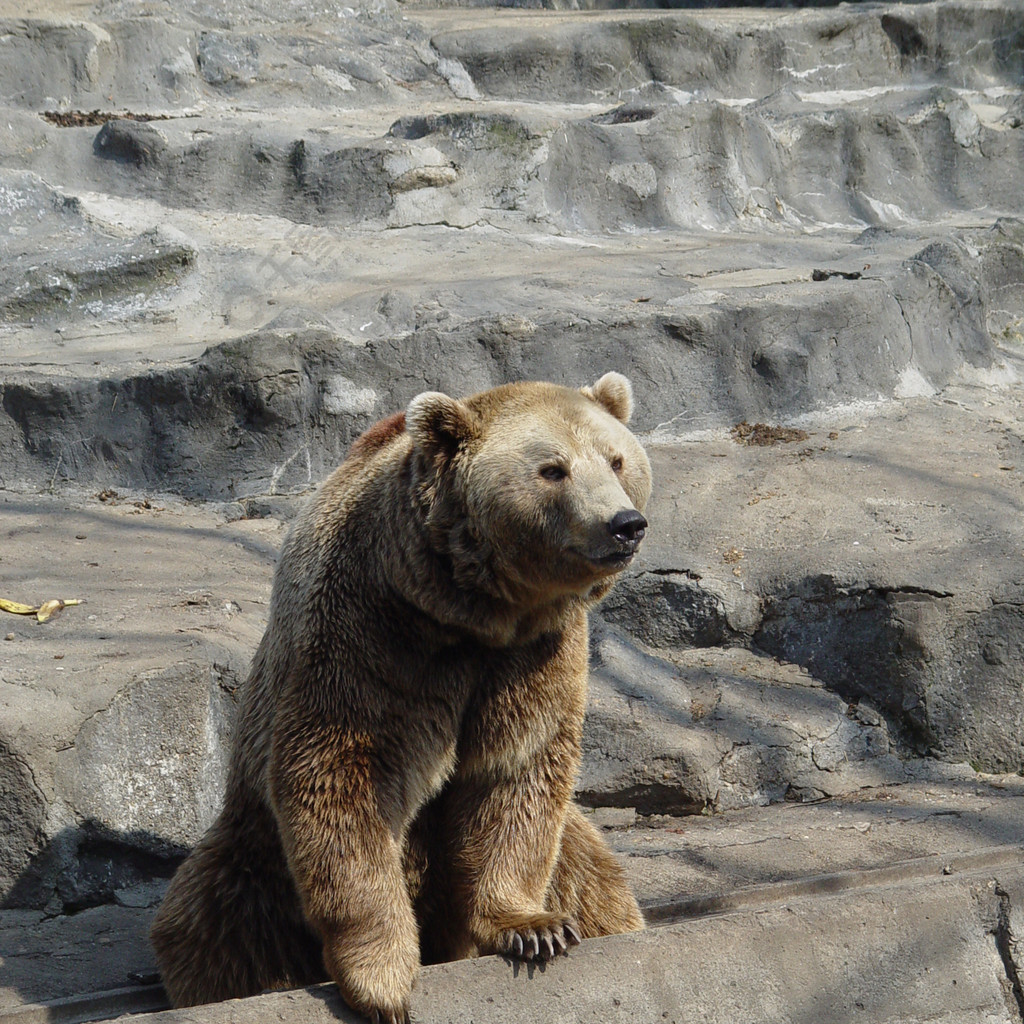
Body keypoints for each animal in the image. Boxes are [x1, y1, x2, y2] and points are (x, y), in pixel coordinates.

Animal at [150, 374, 647, 1024]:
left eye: (617, 459)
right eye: (552, 469)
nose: (624, 523)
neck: (472, 611)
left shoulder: (536, 653)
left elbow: (516, 772)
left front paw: (533, 928)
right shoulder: (373, 630)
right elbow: (341, 773)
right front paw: (382, 981)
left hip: (578, 847)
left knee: (596, 882)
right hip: (253, 854)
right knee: (217, 920)